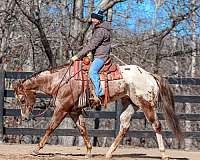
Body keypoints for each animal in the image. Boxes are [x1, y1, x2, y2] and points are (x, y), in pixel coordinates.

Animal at [12, 62, 181, 160]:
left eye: (22, 100)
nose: (24, 117)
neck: (61, 80)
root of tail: (149, 75)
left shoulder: (62, 108)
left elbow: (50, 127)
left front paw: (36, 149)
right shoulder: (74, 111)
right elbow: (82, 129)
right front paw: (88, 151)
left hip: (146, 104)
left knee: (156, 125)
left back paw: (164, 154)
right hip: (130, 104)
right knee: (124, 126)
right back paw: (108, 153)